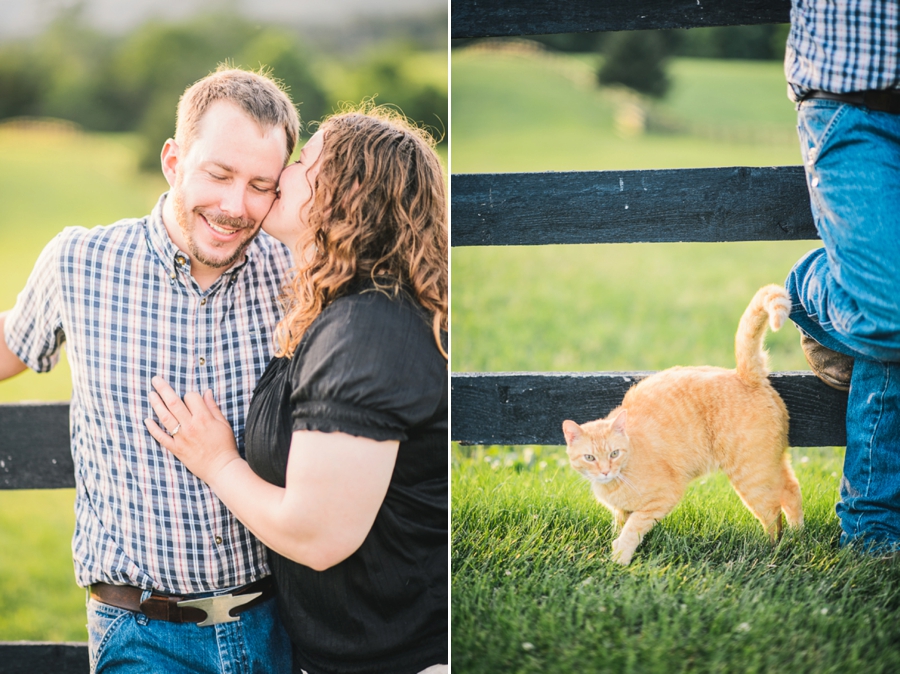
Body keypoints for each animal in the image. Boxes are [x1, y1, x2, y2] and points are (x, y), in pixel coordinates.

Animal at [564, 280, 800, 564]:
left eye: (614, 453)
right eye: (589, 458)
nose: (605, 471)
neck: (617, 480)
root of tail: (745, 374)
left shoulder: (663, 497)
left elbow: (632, 528)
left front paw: (620, 557)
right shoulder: (622, 510)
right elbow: (621, 523)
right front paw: (616, 544)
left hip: (752, 475)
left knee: (772, 513)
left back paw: (772, 549)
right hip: (771, 464)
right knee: (791, 490)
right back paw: (800, 535)